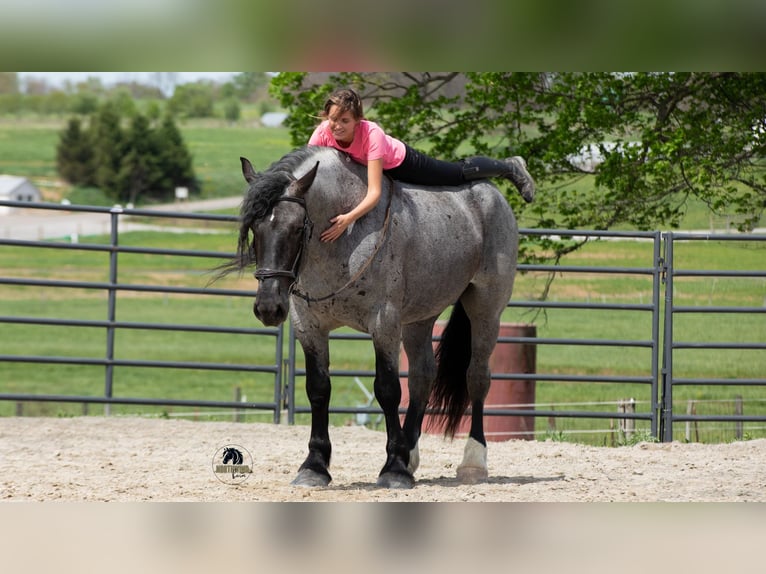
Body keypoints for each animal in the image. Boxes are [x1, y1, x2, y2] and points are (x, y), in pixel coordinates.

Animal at [220, 146, 519, 489]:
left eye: (297, 228)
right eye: (255, 229)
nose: (269, 307)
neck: (344, 239)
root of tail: (492, 195)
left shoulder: (384, 324)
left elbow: (387, 390)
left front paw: (394, 469)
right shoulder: (309, 326)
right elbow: (318, 389)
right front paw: (315, 466)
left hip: (486, 310)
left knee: (477, 376)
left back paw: (472, 461)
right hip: (419, 320)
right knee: (422, 377)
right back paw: (410, 455)